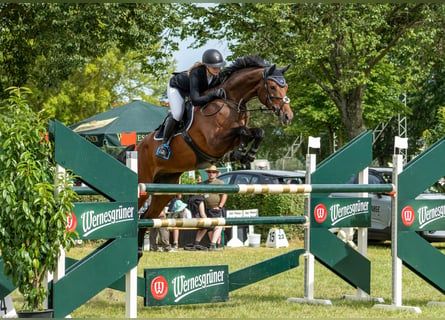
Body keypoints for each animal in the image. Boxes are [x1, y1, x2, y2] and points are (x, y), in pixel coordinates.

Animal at [137, 54, 294, 255]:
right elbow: (243, 131)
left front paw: (246, 154)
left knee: (147, 217)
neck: (231, 102)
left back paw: (139, 250)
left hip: (165, 188)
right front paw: (241, 153)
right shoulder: (213, 142)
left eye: (286, 87)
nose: (288, 117)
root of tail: (138, 147)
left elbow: (257, 132)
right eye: (273, 87)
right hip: (143, 182)